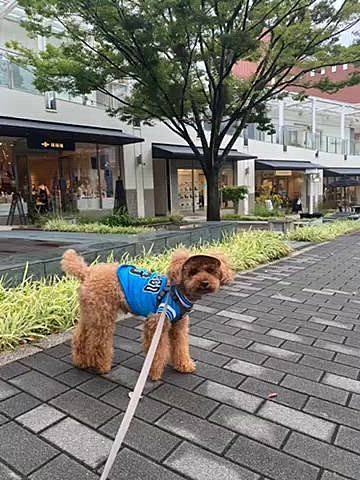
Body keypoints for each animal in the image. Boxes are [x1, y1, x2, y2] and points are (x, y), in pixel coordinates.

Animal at [62, 249, 233, 380]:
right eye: (193, 272)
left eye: (210, 270)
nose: (205, 283)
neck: (177, 291)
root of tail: (88, 271)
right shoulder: (157, 321)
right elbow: (157, 350)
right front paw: (155, 373)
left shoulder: (179, 324)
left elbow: (181, 346)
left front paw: (184, 365)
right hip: (103, 315)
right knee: (99, 342)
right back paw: (101, 366)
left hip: (91, 312)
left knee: (80, 336)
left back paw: (81, 361)